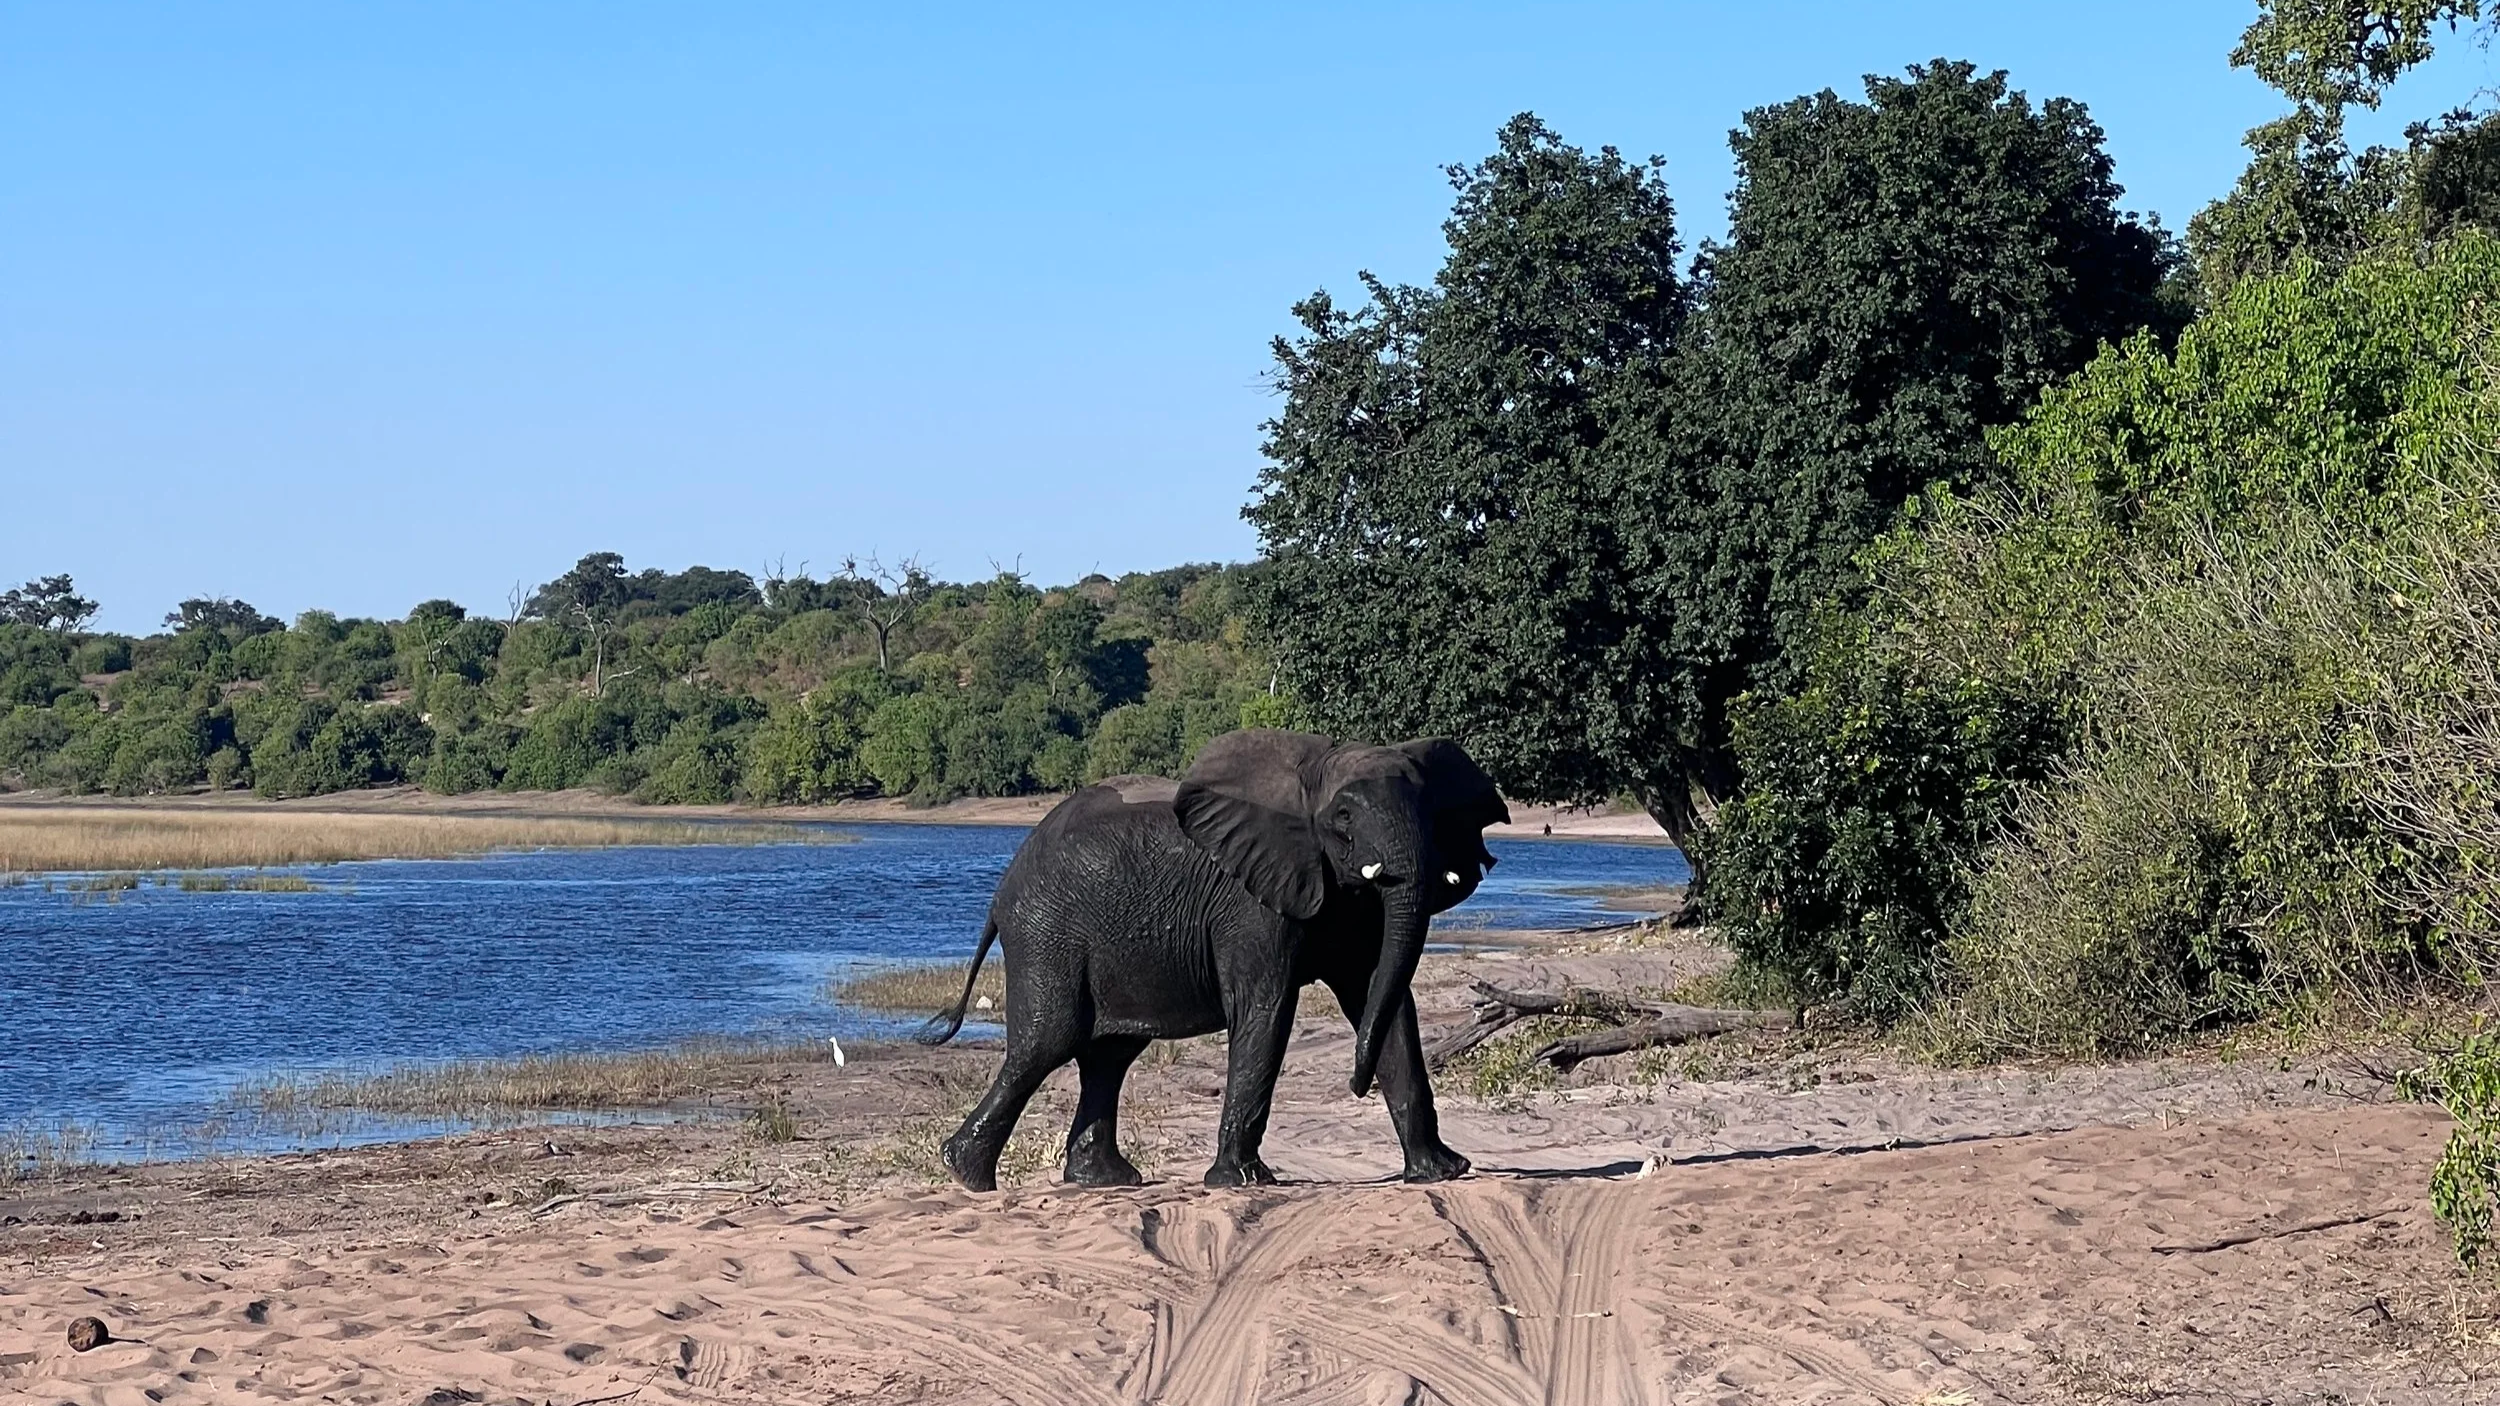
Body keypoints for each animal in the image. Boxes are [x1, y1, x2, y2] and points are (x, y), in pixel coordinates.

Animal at [917, 728, 1510, 1190]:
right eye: (1342, 816)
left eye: (1431, 816)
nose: (1352, 1085)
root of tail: (1000, 892)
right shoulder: (1253, 902)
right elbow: (1265, 1010)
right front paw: (1242, 1183)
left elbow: (1383, 1005)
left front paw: (1443, 1173)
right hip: (1046, 933)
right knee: (1049, 1041)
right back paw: (964, 1174)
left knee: (1108, 1055)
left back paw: (1103, 1181)